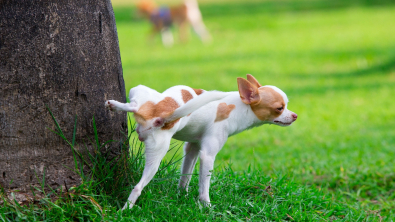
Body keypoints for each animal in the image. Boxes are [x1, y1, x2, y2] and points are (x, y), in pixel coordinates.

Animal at [105, 74, 296, 210]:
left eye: (287, 105)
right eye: (279, 108)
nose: (295, 115)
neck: (239, 106)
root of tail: (162, 115)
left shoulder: (192, 149)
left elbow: (185, 176)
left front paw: (181, 196)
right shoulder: (207, 156)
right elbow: (204, 186)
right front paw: (207, 207)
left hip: (145, 112)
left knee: (135, 106)